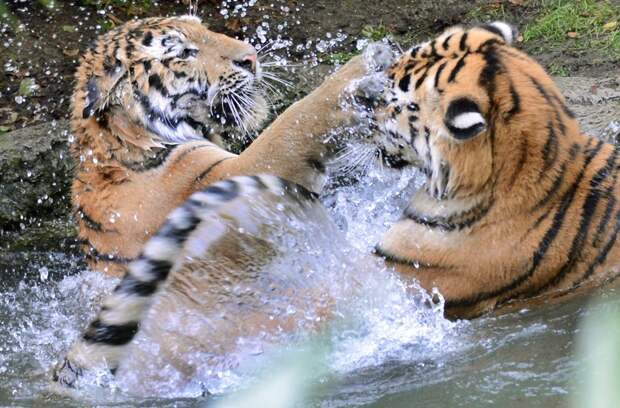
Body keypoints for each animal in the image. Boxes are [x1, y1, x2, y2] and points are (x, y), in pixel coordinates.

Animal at [71, 15, 392, 278]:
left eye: (204, 28)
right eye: (184, 53)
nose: (251, 57)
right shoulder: (236, 177)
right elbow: (295, 120)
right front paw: (366, 67)